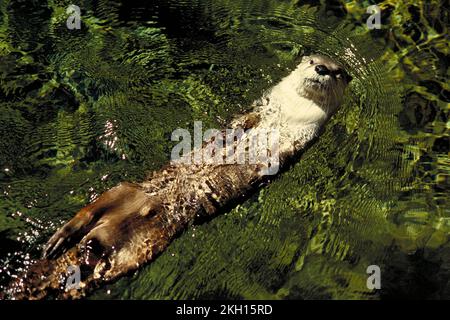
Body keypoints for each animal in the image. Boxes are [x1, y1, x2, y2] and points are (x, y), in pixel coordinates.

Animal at [6, 54, 352, 298]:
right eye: (312, 61)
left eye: (335, 71)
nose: (321, 69)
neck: (290, 112)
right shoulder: (261, 108)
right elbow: (243, 122)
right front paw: (234, 136)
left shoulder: (301, 138)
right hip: (123, 190)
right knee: (90, 212)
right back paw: (60, 238)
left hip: (141, 247)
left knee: (99, 264)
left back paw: (72, 273)